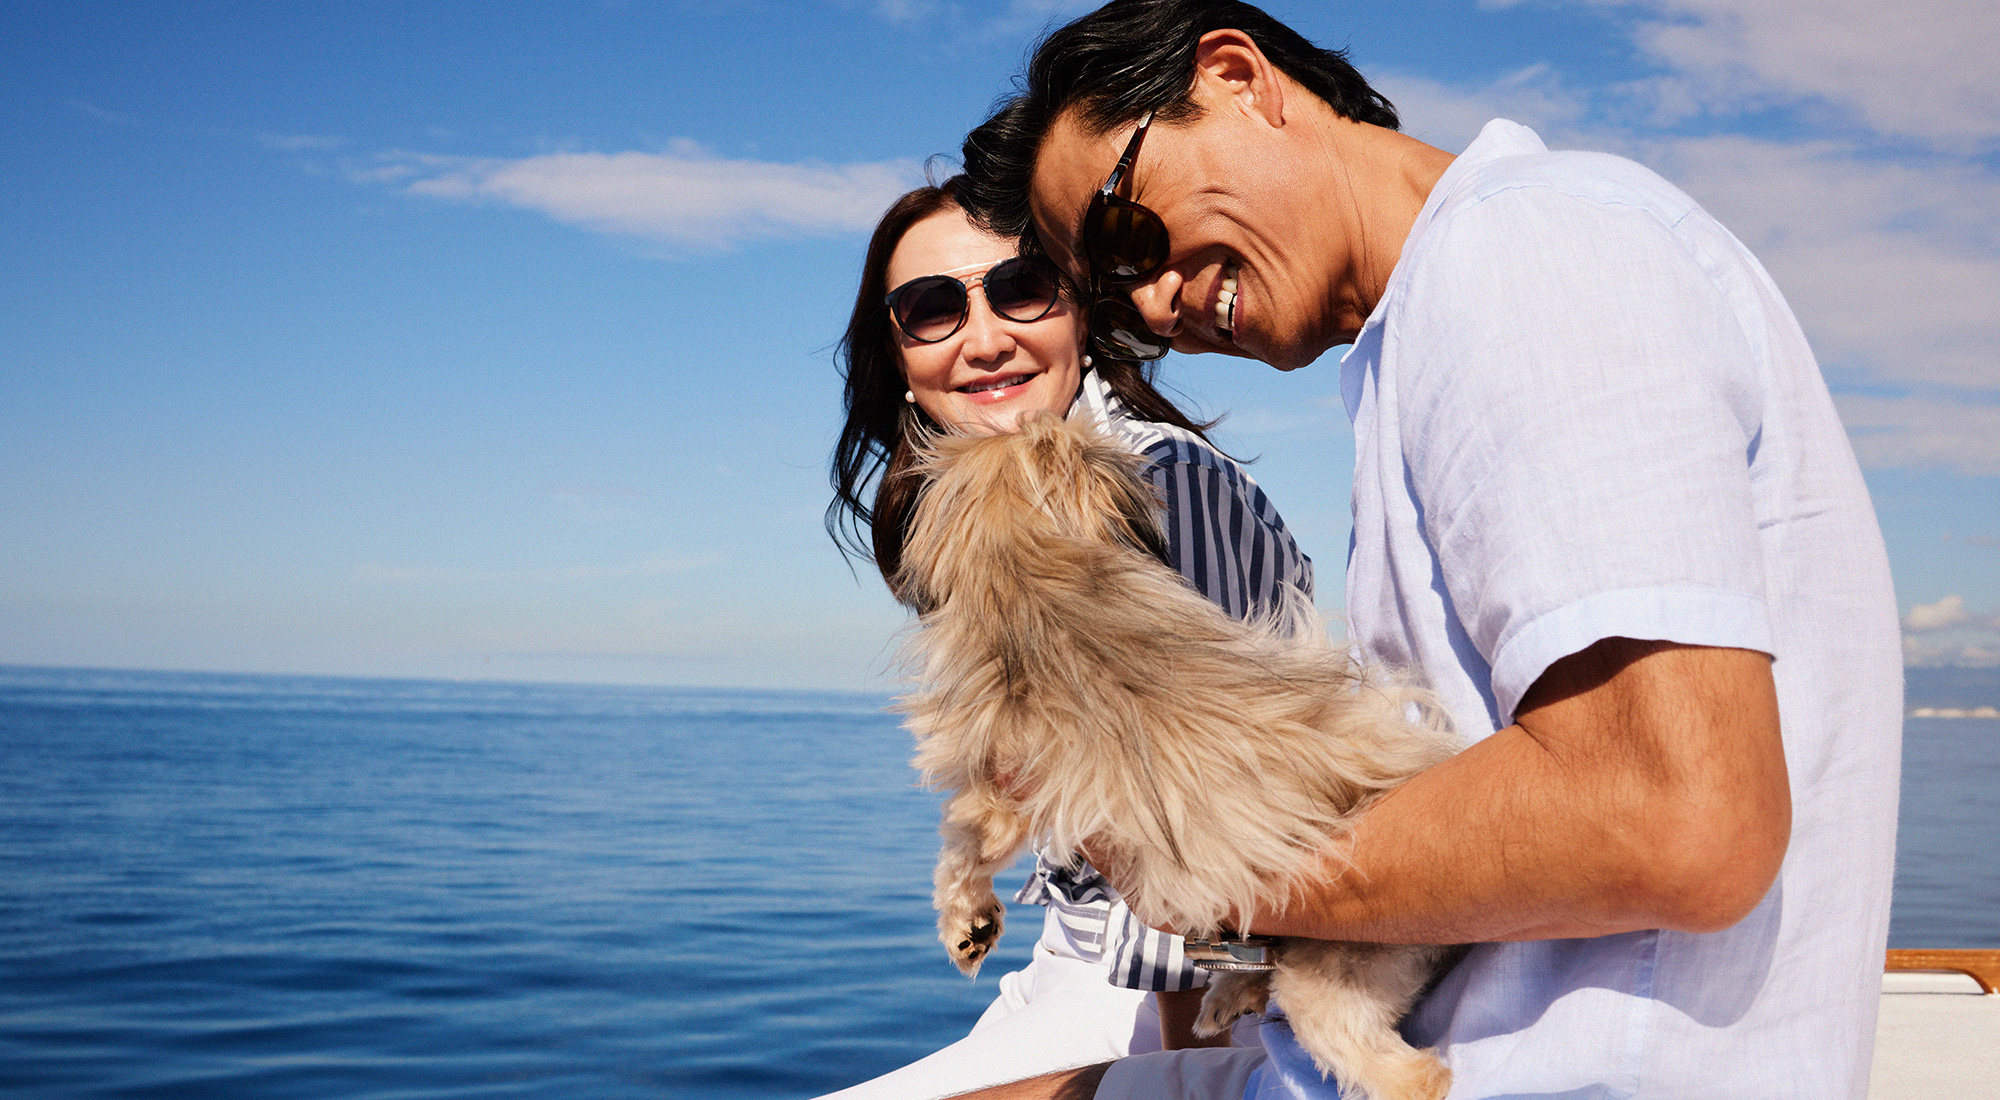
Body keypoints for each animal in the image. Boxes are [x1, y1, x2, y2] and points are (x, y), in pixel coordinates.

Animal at [900, 416, 1464, 1100]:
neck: (1027, 560)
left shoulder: (1002, 783)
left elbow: (963, 847)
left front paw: (967, 924)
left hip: (1338, 978)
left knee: (1411, 1071)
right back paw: (1231, 993)